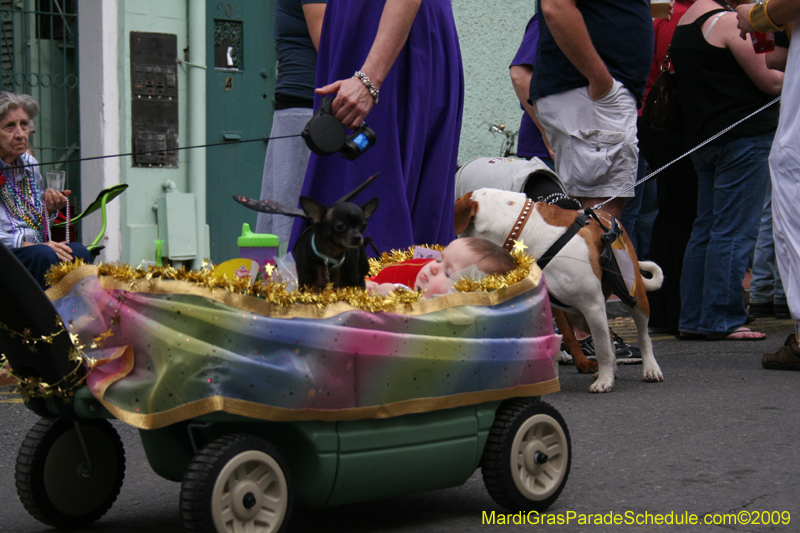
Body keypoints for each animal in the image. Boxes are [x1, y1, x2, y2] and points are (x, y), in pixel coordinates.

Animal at [454, 187, 664, 390]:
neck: (521, 233)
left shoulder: (593, 306)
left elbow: (602, 348)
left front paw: (604, 381)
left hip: (634, 297)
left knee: (641, 336)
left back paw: (650, 369)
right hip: (579, 316)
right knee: (608, 334)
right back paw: (613, 370)